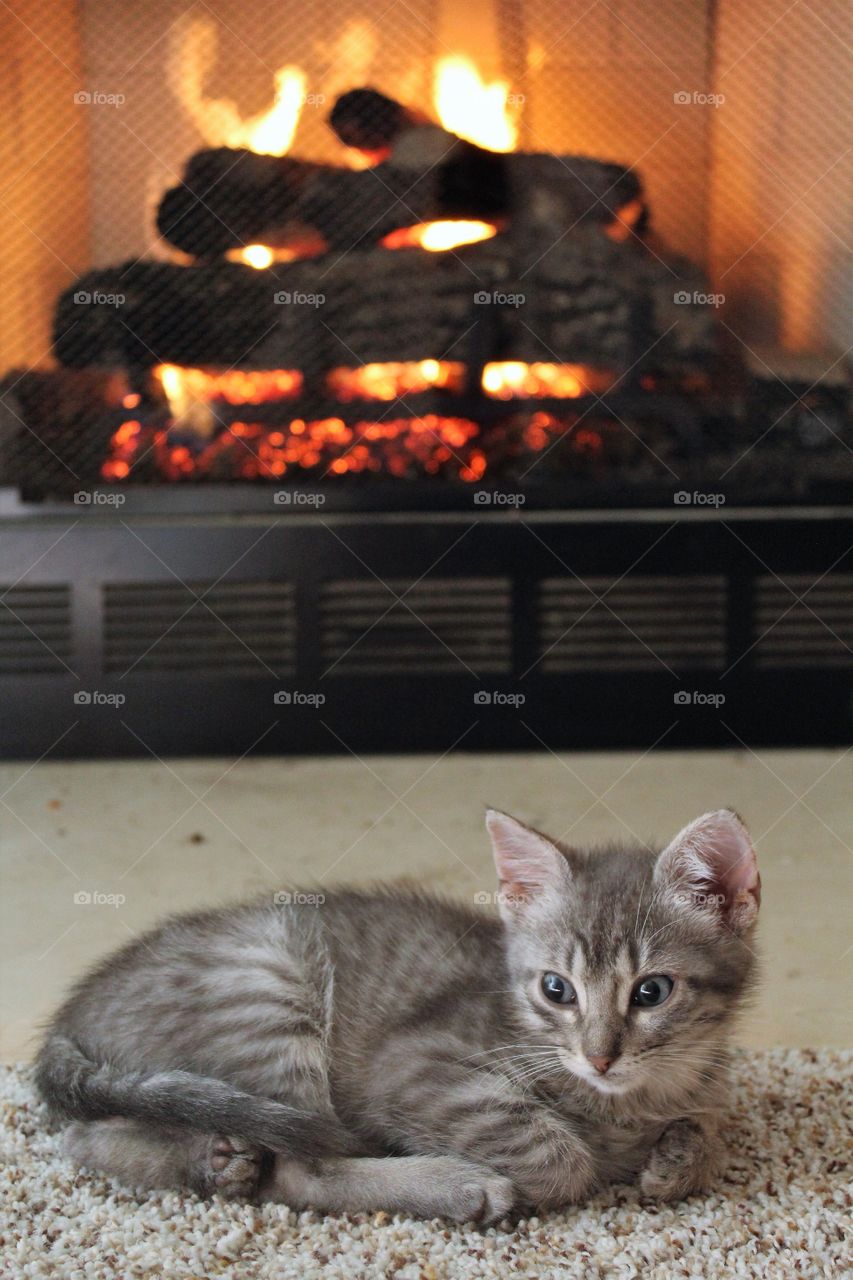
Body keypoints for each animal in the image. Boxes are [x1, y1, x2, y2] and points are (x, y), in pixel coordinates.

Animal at [36, 808, 758, 1218]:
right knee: (302, 1166)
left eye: (650, 992)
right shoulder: (413, 1064)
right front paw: (568, 1166)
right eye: (557, 990)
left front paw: (681, 1156)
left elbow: (710, 1125)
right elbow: (560, 1157)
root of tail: (72, 1013)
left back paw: (212, 1160)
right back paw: (453, 1187)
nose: (600, 1056)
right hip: (268, 987)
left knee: (88, 1137)